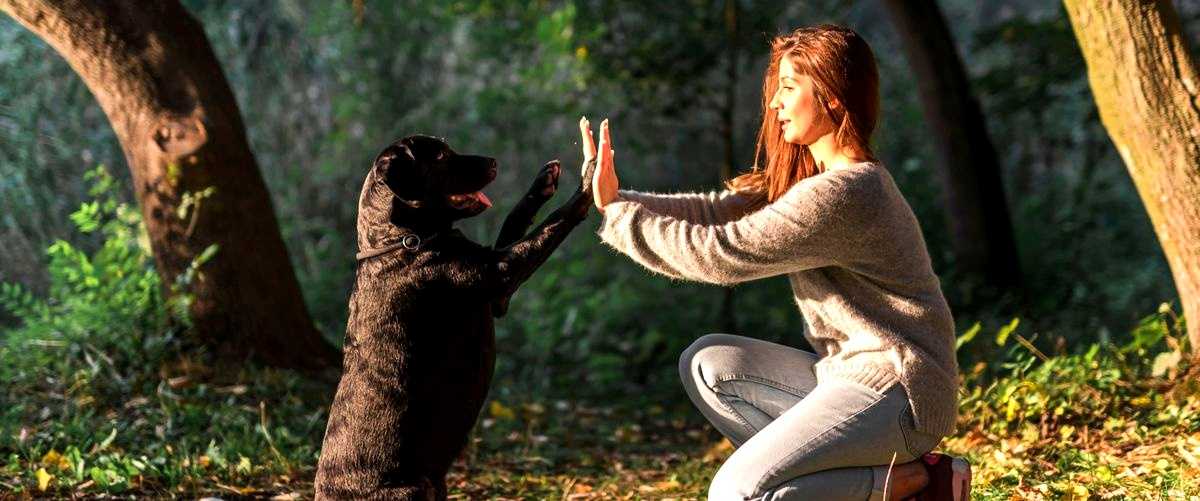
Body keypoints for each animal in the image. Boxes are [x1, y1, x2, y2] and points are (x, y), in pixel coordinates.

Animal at [309, 134, 590, 498]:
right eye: (441, 156)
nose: (493, 161)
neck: (403, 240)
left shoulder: (498, 298)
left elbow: (515, 220)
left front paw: (542, 183)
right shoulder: (503, 272)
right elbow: (549, 226)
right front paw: (589, 184)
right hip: (414, 489)